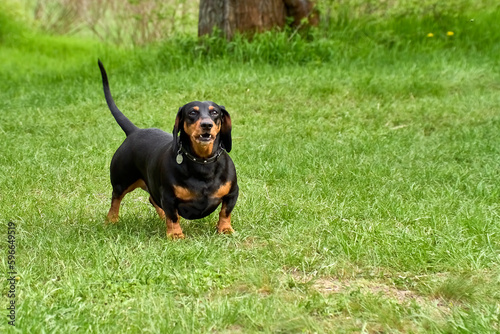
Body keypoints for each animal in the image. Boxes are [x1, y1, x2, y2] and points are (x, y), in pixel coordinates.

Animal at [98, 59, 239, 237]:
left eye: (215, 113)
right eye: (192, 113)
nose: (207, 125)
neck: (202, 163)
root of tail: (135, 131)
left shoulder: (232, 192)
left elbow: (225, 212)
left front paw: (225, 229)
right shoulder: (169, 196)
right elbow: (173, 216)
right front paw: (175, 235)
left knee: (152, 199)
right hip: (122, 181)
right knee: (116, 198)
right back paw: (111, 220)